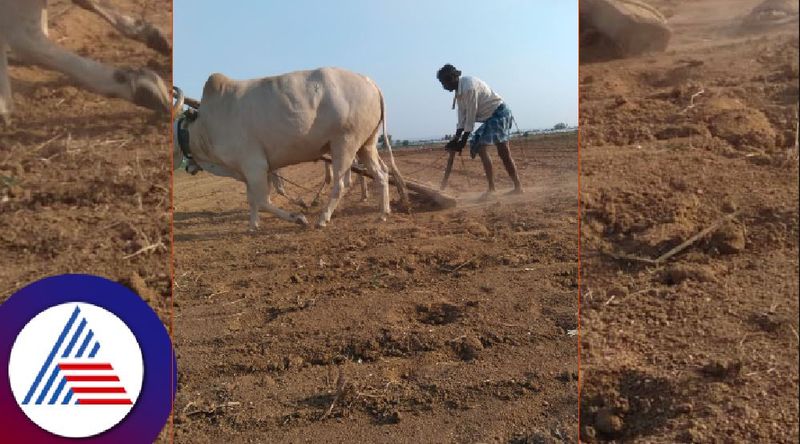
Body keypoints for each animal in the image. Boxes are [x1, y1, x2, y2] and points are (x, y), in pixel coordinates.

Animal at [171, 68, 404, 232]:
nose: (188, 167)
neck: (204, 126)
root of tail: (370, 83)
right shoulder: (251, 170)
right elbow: (252, 199)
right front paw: (253, 225)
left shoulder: (255, 165)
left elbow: (263, 200)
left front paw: (298, 217)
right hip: (366, 145)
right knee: (381, 174)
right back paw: (383, 213)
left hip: (345, 143)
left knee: (341, 183)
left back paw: (322, 218)